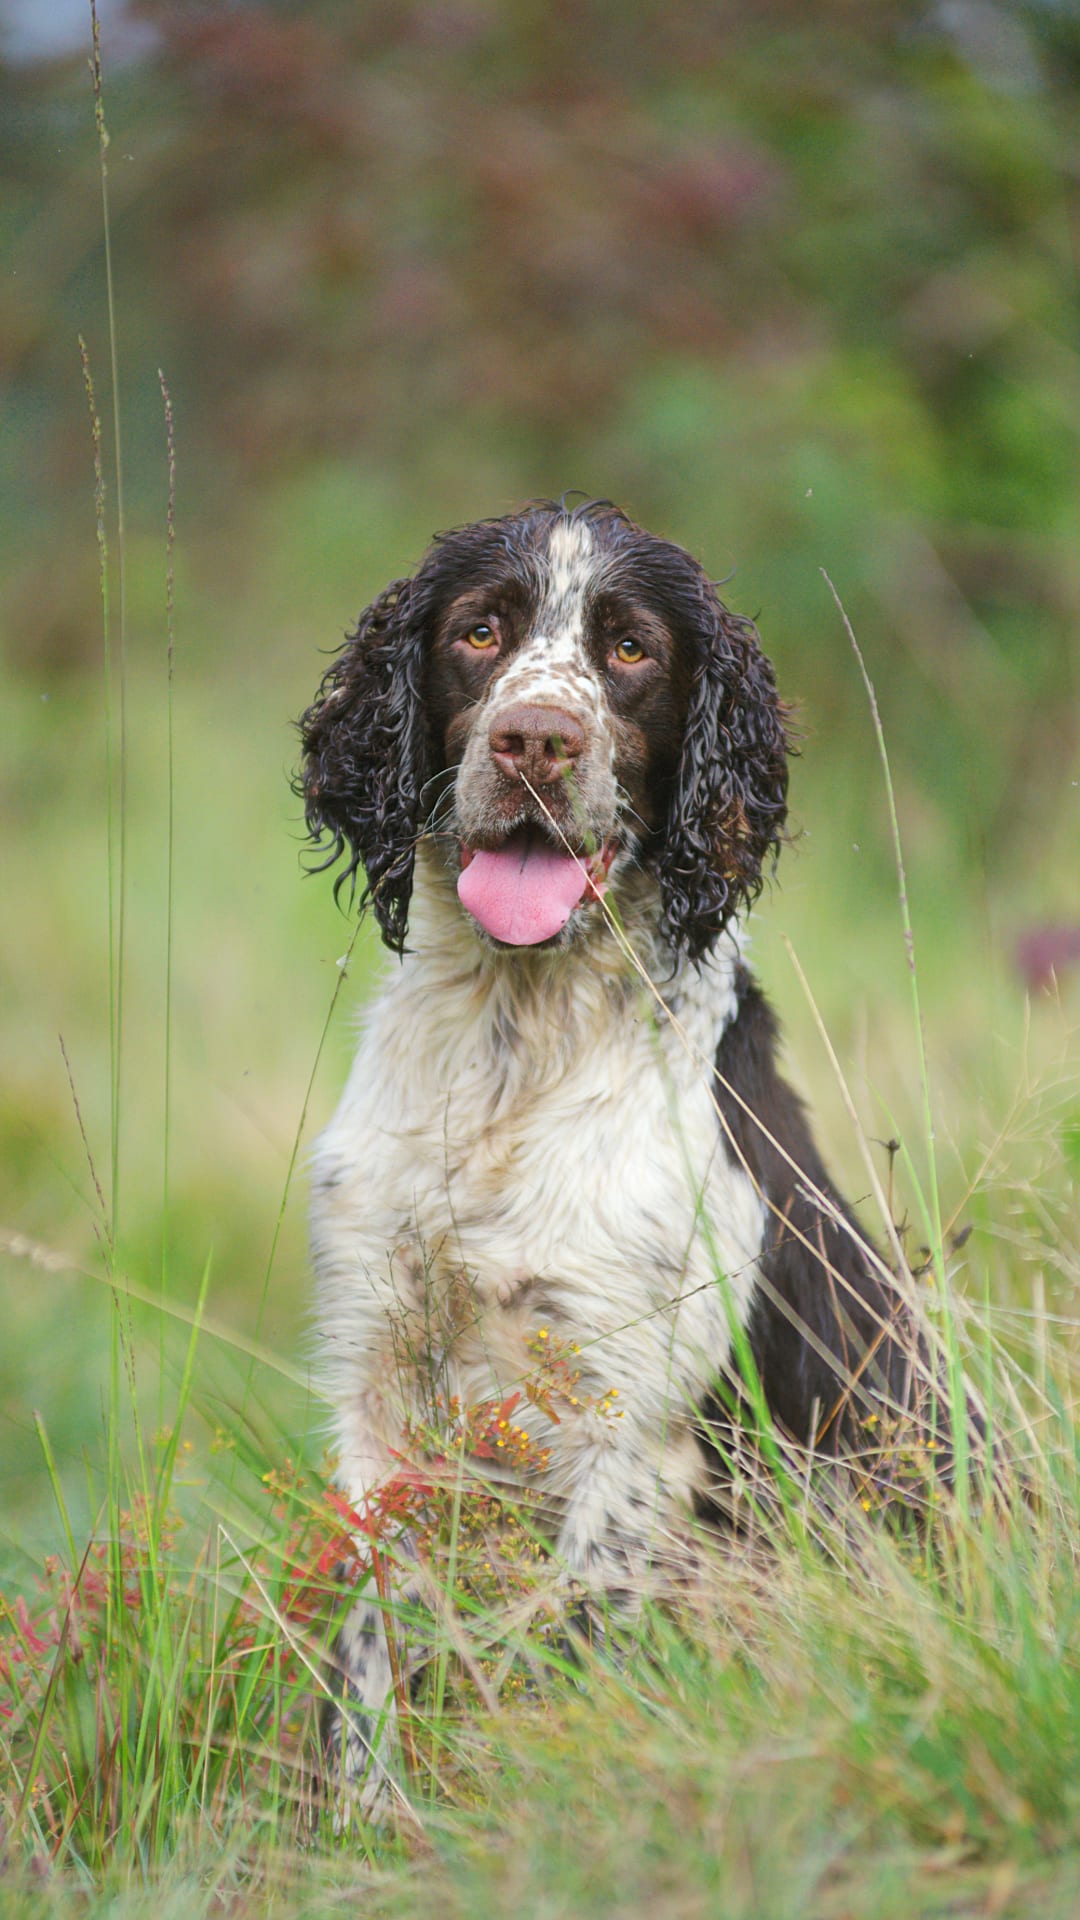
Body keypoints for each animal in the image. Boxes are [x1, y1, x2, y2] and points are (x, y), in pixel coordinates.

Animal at [294, 495, 914, 1812]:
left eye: (631, 650)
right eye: (480, 631)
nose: (536, 740)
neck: (514, 1053)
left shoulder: (628, 1434)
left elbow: (565, 1658)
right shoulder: (380, 1389)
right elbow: (373, 1661)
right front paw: (362, 1828)